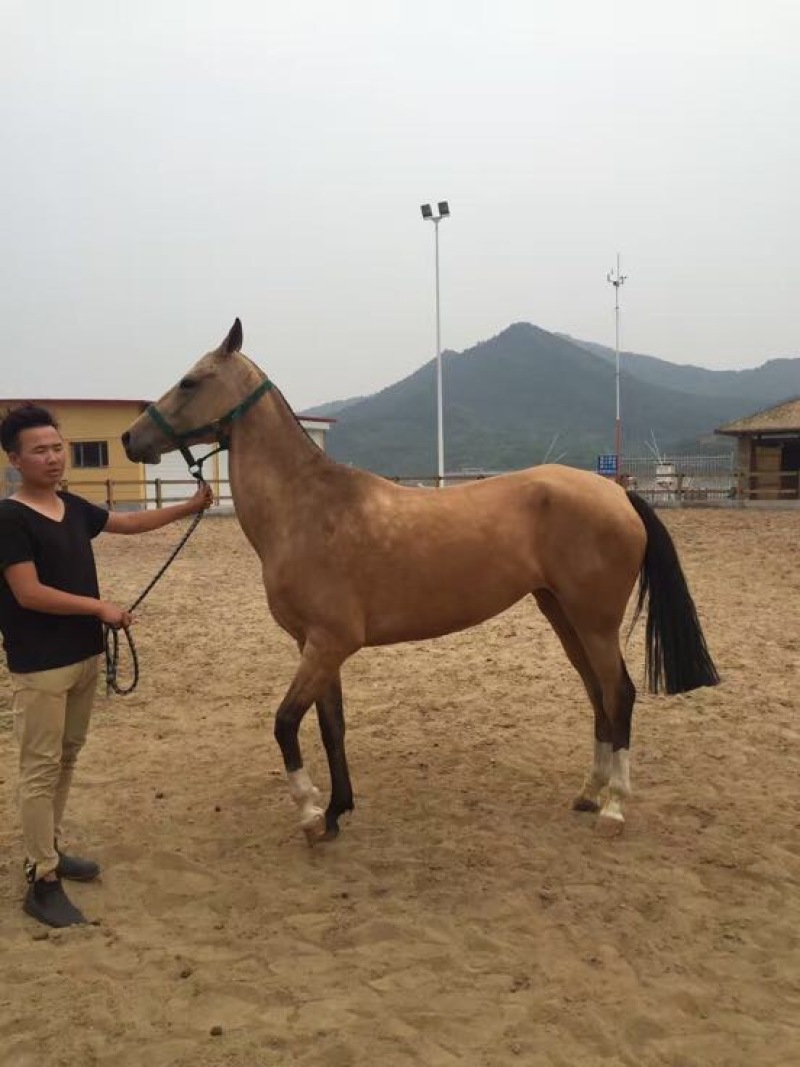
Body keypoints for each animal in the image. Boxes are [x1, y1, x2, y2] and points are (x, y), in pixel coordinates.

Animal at [122, 319, 719, 842]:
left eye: (190, 380)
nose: (131, 438)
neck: (307, 509)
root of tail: (618, 493)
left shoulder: (329, 643)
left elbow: (285, 723)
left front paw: (310, 812)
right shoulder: (315, 646)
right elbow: (330, 726)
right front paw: (336, 811)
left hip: (594, 622)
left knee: (619, 694)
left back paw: (614, 806)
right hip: (563, 614)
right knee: (598, 695)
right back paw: (590, 792)